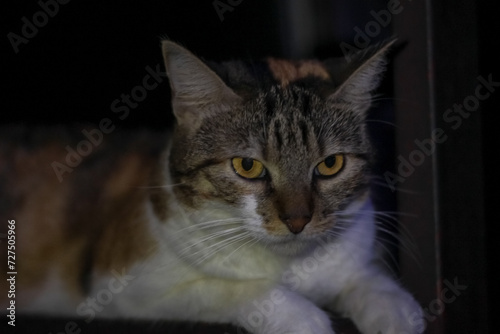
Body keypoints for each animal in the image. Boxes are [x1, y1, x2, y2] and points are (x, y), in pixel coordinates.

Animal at [0, 39, 424, 334]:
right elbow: (220, 288)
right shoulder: (124, 289)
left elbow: (369, 280)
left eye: (330, 165)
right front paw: (303, 317)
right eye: (248, 166)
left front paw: (396, 310)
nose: (298, 220)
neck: (289, 265)